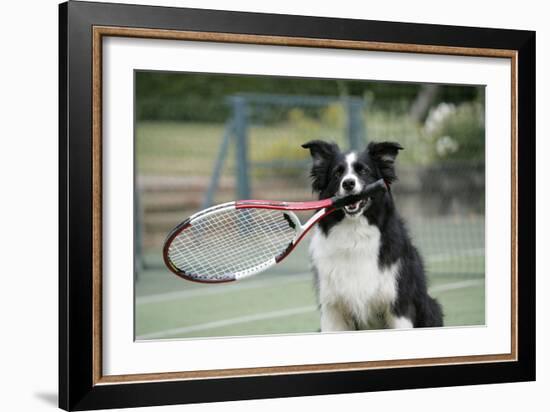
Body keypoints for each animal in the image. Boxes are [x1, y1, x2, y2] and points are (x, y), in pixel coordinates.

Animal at [302, 140, 444, 330]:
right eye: (337, 173)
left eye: (363, 171)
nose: (348, 183)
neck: (354, 233)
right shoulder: (332, 311)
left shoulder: (399, 306)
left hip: (431, 308)